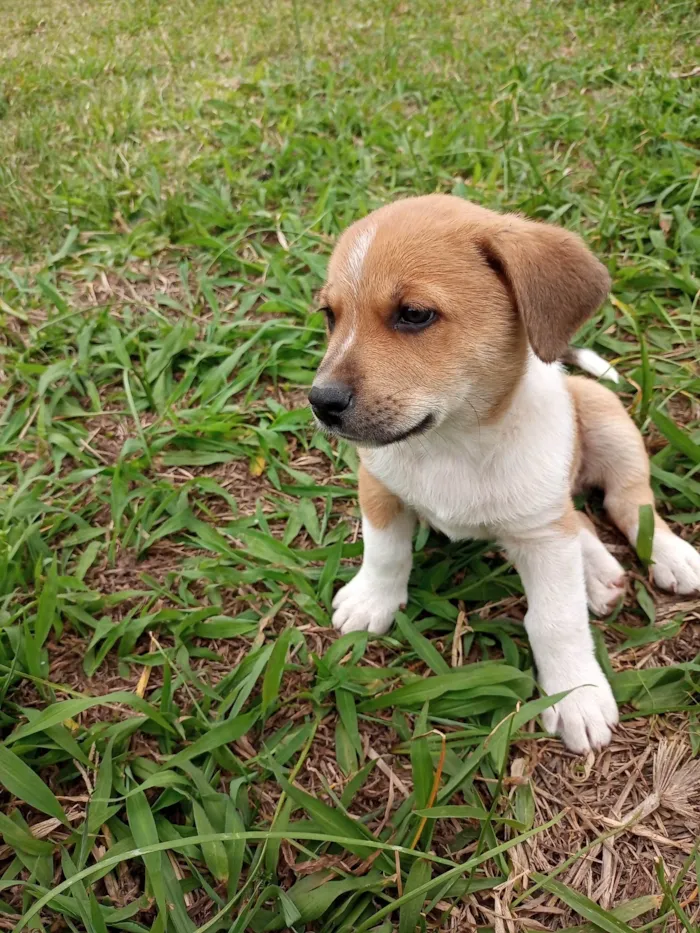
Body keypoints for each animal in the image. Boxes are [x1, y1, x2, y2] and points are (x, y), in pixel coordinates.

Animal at [310, 195, 700, 748]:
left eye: (414, 315)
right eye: (330, 316)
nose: (320, 403)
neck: (452, 441)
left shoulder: (543, 538)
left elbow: (557, 619)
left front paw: (576, 693)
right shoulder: (380, 486)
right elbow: (385, 553)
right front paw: (372, 601)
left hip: (601, 414)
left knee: (628, 502)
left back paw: (669, 555)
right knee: (580, 518)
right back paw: (599, 574)